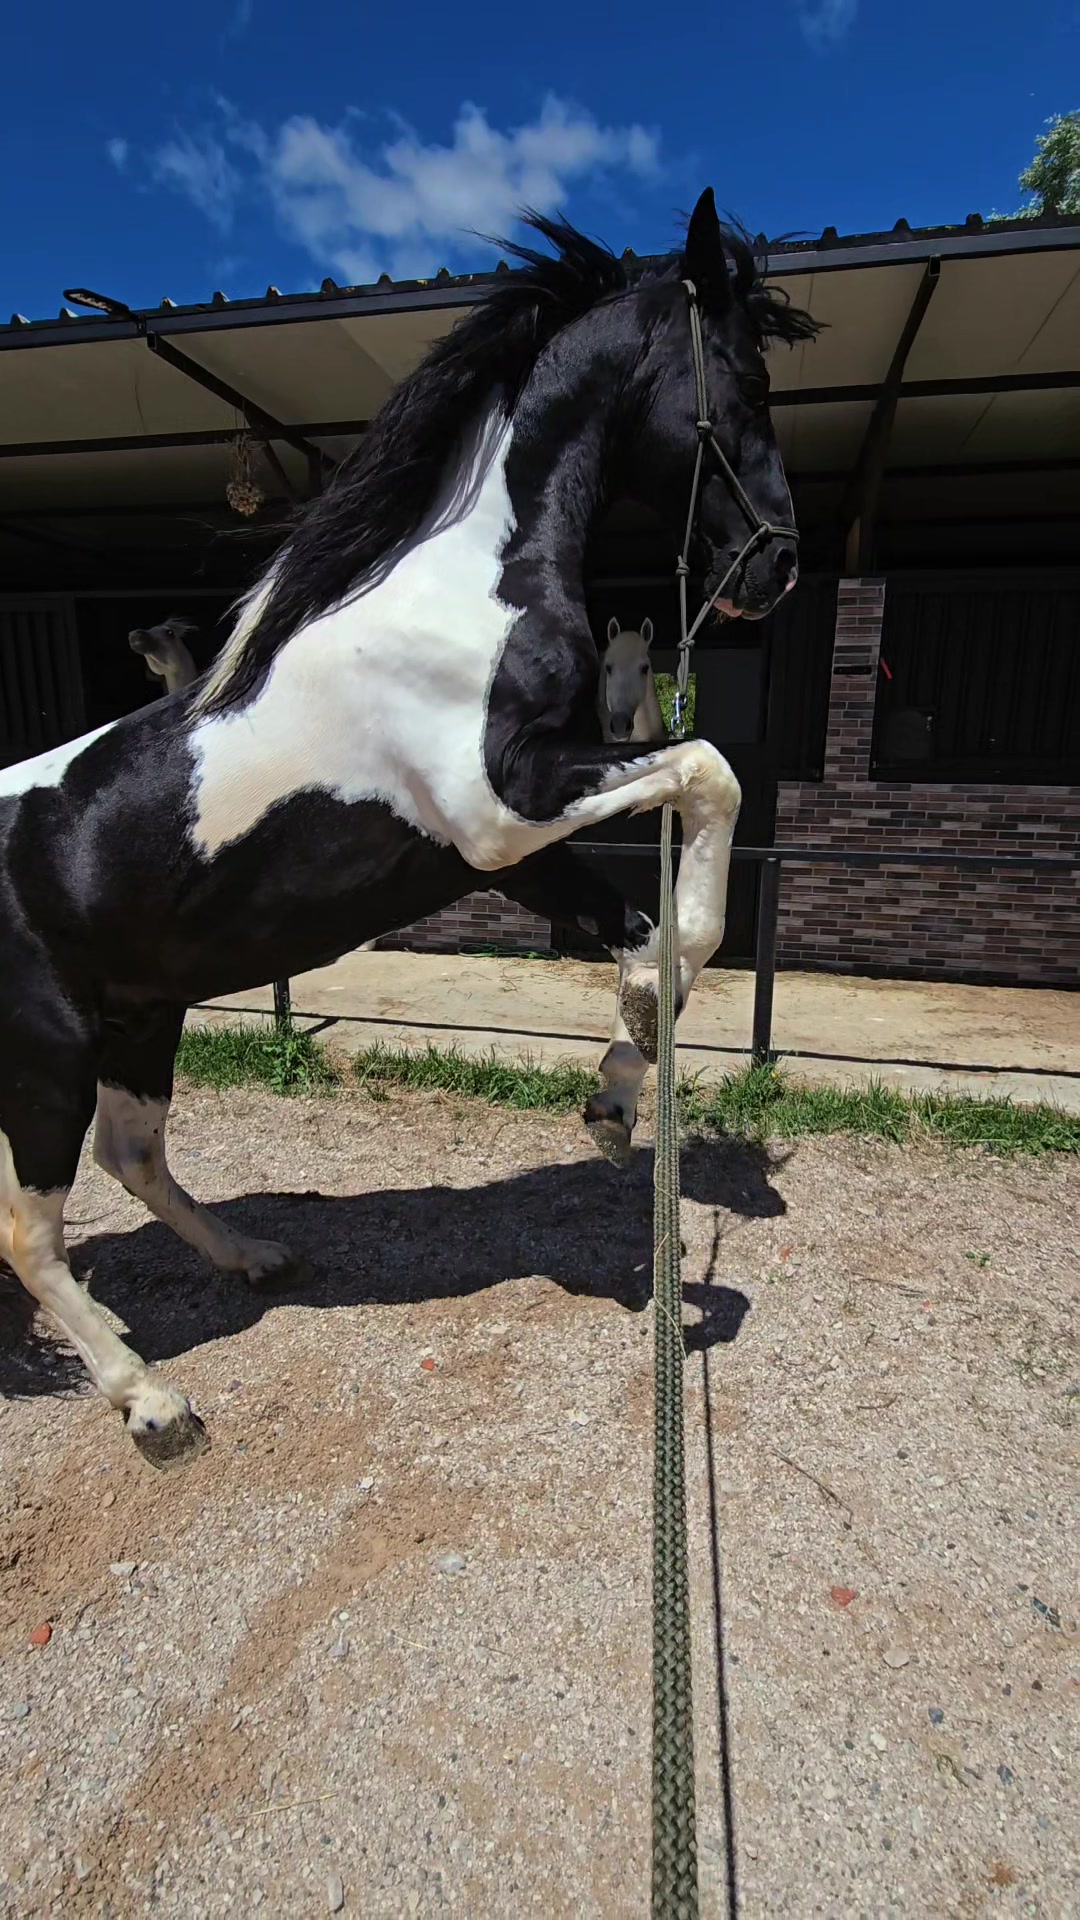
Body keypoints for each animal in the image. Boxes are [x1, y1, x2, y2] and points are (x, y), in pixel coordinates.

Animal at [0, 188, 818, 1469]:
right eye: (742, 374)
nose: (776, 565)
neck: (467, 592)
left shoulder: (514, 845)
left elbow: (652, 927)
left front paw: (618, 1090)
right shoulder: (499, 809)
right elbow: (710, 774)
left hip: (140, 1016)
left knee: (134, 1158)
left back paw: (256, 1261)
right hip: (45, 1052)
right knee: (28, 1231)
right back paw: (154, 1404)